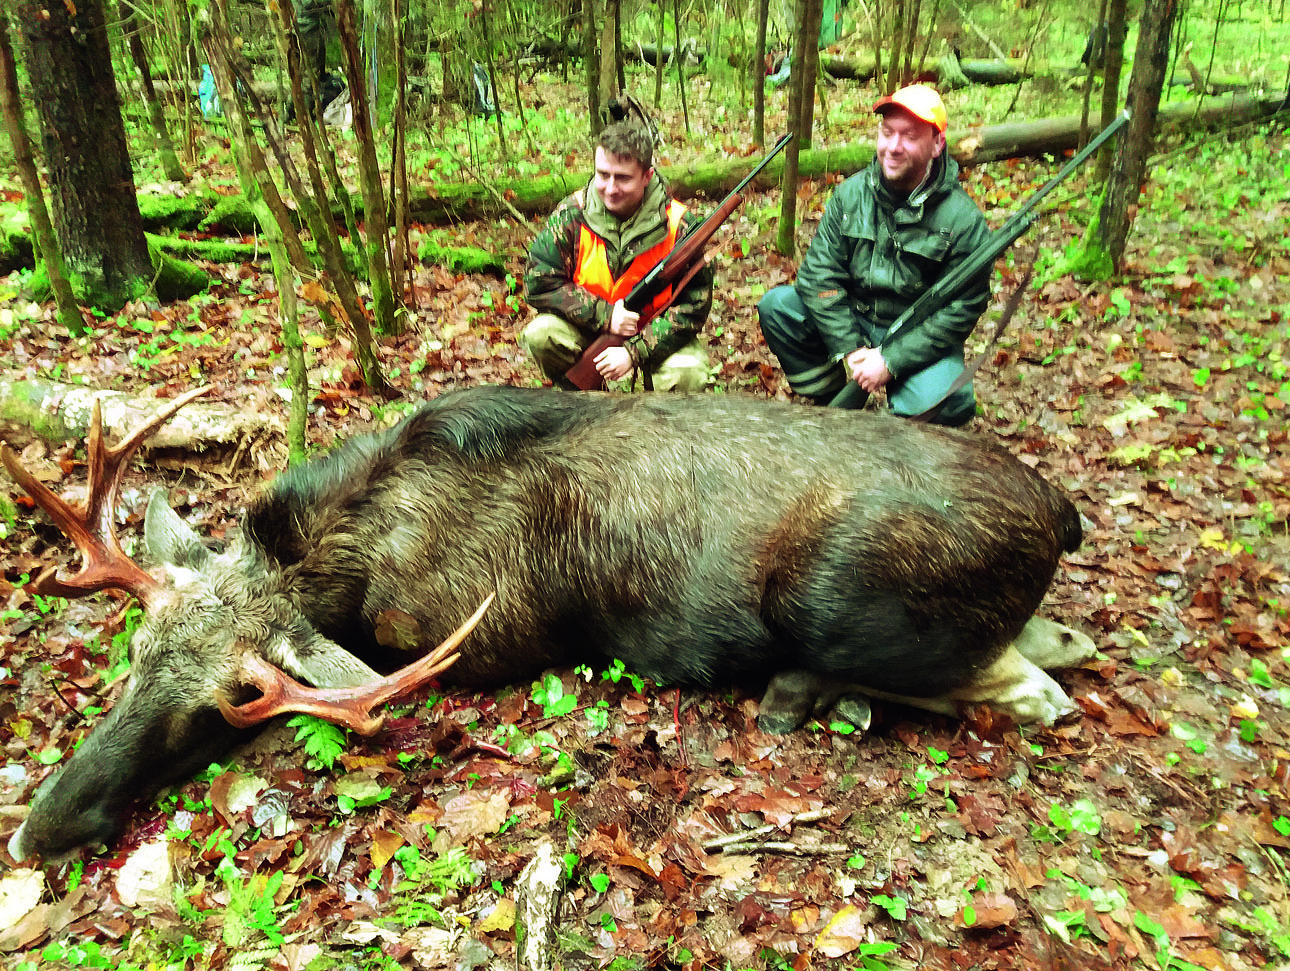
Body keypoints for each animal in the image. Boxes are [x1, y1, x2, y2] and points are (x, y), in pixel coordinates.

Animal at [0, 381, 1093, 861]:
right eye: (135, 656)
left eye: (232, 702)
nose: (39, 829)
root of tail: (1061, 509)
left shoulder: (478, 640)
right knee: (1052, 645)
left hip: (821, 593)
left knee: (1021, 686)